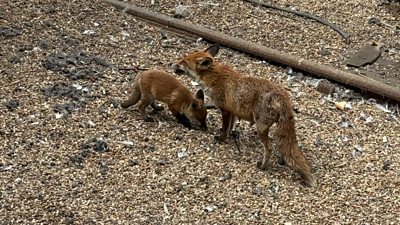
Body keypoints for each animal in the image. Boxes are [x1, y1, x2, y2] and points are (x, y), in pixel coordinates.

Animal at [172, 44, 316, 186]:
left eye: (183, 62)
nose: (171, 64)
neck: (213, 77)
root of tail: (283, 95)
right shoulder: (233, 111)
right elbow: (230, 127)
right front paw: (229, 136)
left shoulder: (225, 110)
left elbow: (225, 129)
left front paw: (222, 139)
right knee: (284, 146)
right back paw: (282, 160)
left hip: (260, 128)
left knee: (269, 148)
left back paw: (263, 166)